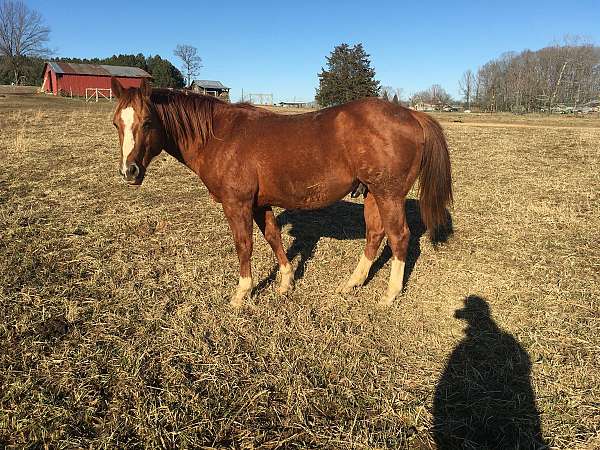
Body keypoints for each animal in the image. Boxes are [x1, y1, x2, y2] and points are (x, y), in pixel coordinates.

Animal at [111, 79, 450, 308]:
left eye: (147, 122)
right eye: (116, 123)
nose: (129, 172)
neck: (219, 136)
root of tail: (411, 115)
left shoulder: (237, 204)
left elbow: (244, 245)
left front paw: (242, 293)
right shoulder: (259, 204)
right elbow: (273, 237)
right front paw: (286, 282)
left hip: (388, 194)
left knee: (399, 237)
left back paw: (390, 295)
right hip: (373, 194)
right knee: (375, 234)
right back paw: (352, 283)